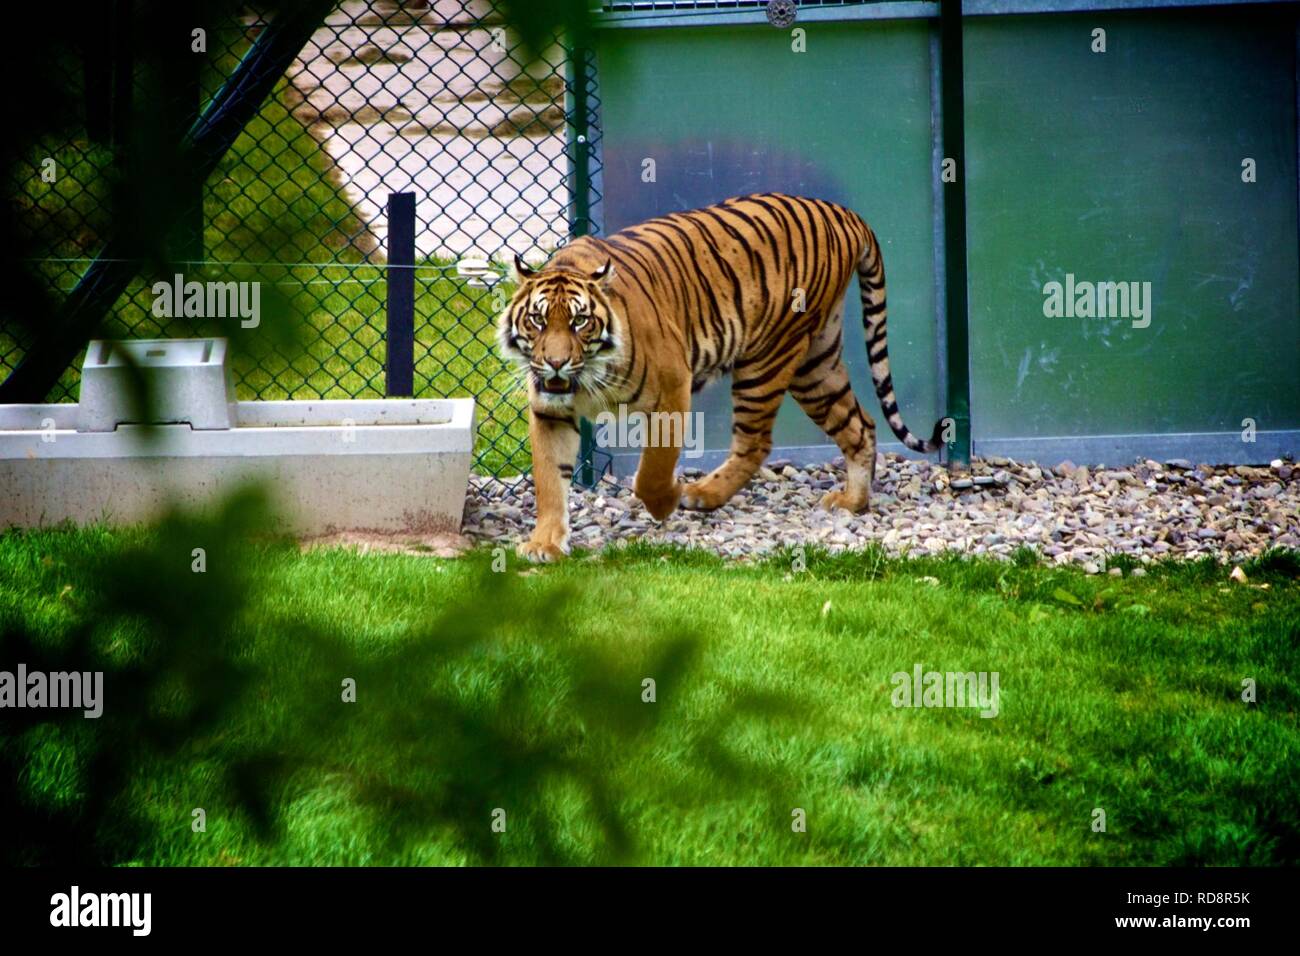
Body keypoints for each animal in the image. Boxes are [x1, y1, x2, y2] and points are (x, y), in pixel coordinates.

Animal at [497, 193, 944, 562]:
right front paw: (544, 544)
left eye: (579, 322)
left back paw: (701, 495)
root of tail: (843, 213)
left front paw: (666, 501)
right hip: (816, 365)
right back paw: (852, 503)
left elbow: (651, 471)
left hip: (767, 358)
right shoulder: (550, 411)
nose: (555, 363)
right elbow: (550, 481)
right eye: (537, 320)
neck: (585, 373)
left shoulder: (672, 388)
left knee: (756, 442)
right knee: (859, 425)